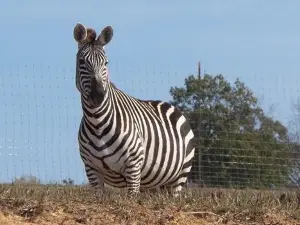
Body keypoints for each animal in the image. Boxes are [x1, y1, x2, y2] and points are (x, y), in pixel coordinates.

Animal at [73, 22, 196, 196]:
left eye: (106, 63)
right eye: (82, 61)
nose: (98, 96)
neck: (97, 122)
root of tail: (169, 104)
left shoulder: (133, 167)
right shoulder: (92, 170)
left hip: (179, 176)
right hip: (154, 184)